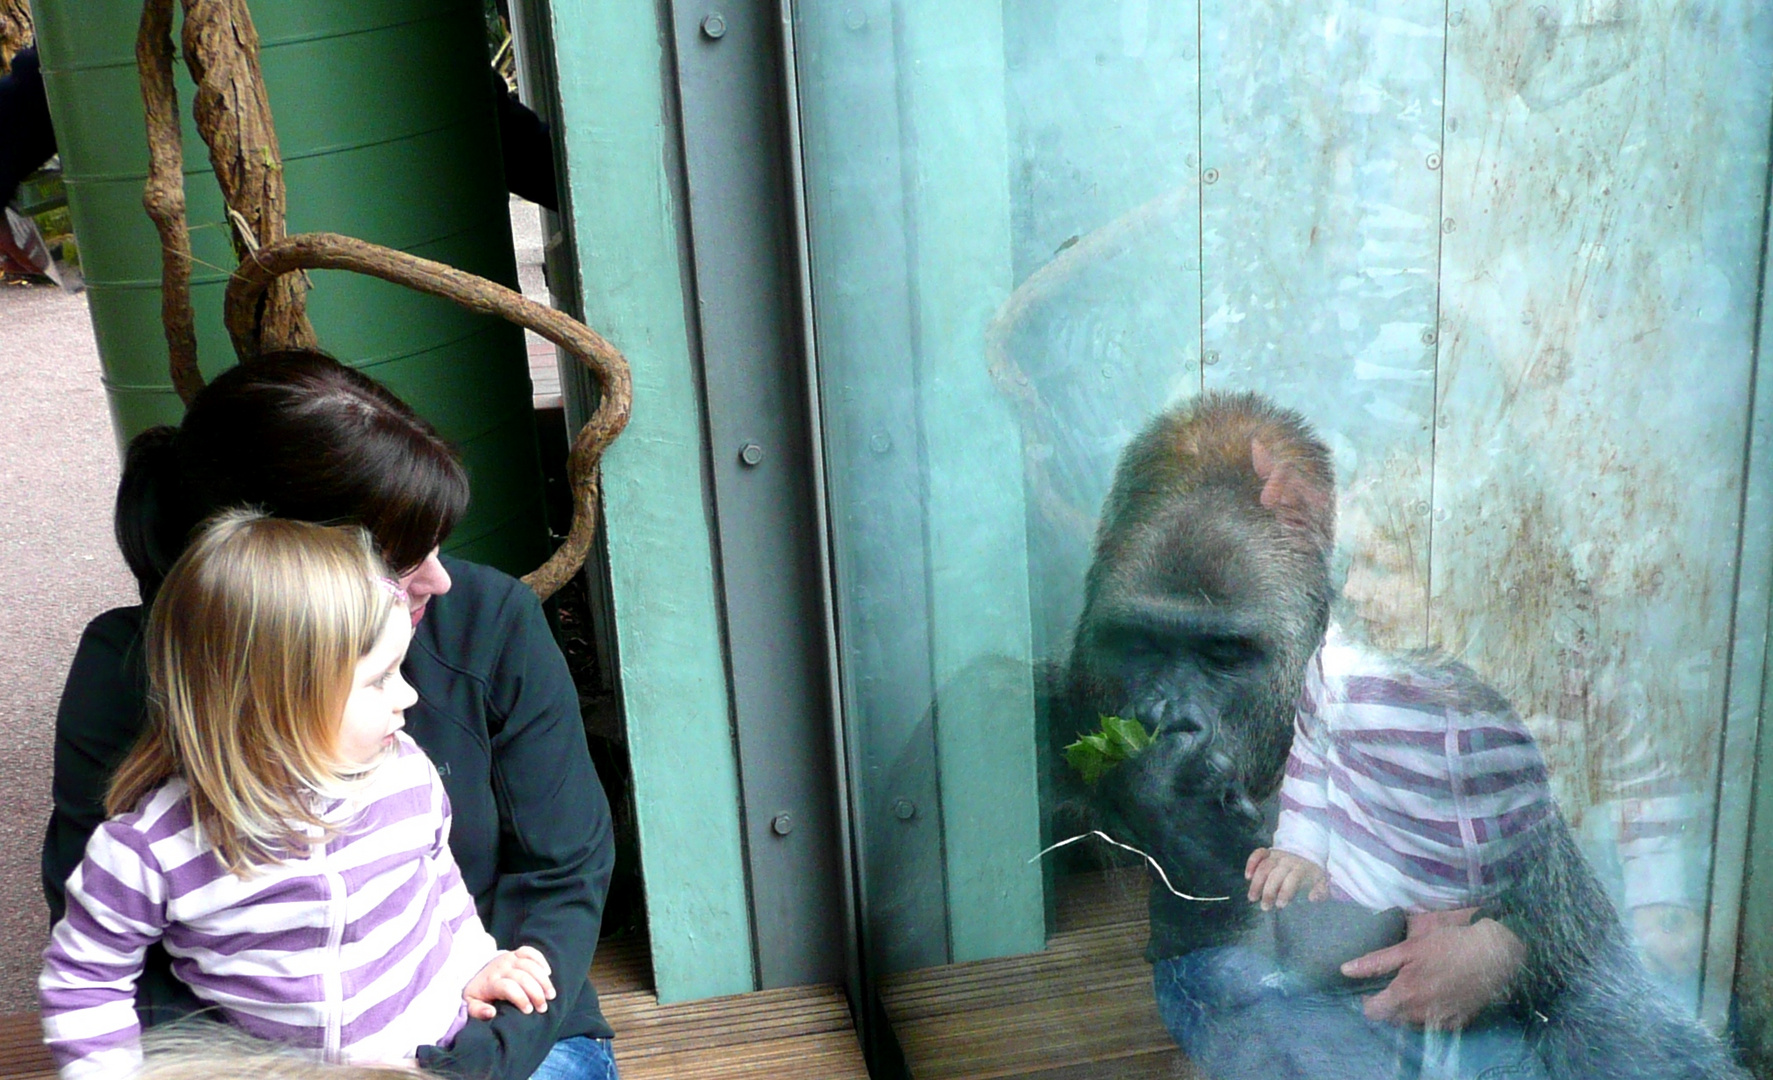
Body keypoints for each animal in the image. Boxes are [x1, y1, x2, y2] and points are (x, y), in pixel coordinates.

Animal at [1049, 391, 1744, 1078]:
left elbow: (1569, 933)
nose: (1166, 715)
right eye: (1142, 643)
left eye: (1222, 653)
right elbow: (1237, 985)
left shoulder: (1455, 691)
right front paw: (1176, 815)